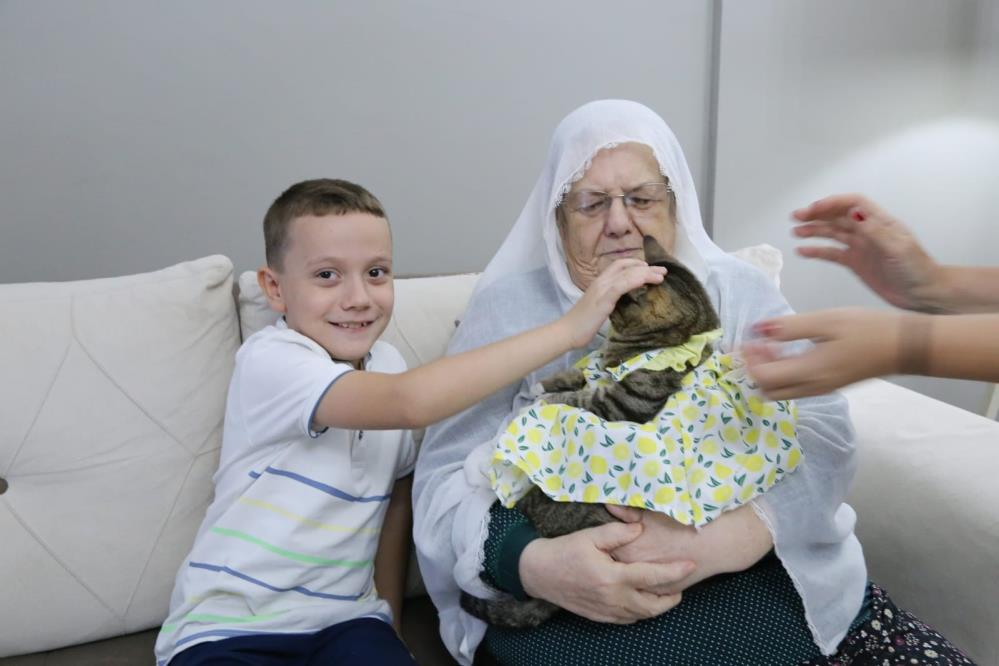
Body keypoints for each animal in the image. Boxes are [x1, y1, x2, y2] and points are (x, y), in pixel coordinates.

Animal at [460, 235, 720, 628]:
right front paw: (551, 381)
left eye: (615, 308)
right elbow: (579, 375)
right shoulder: (598, 373)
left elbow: (579, 397)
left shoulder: (622, 403)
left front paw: (546, 397)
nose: (603, 325)